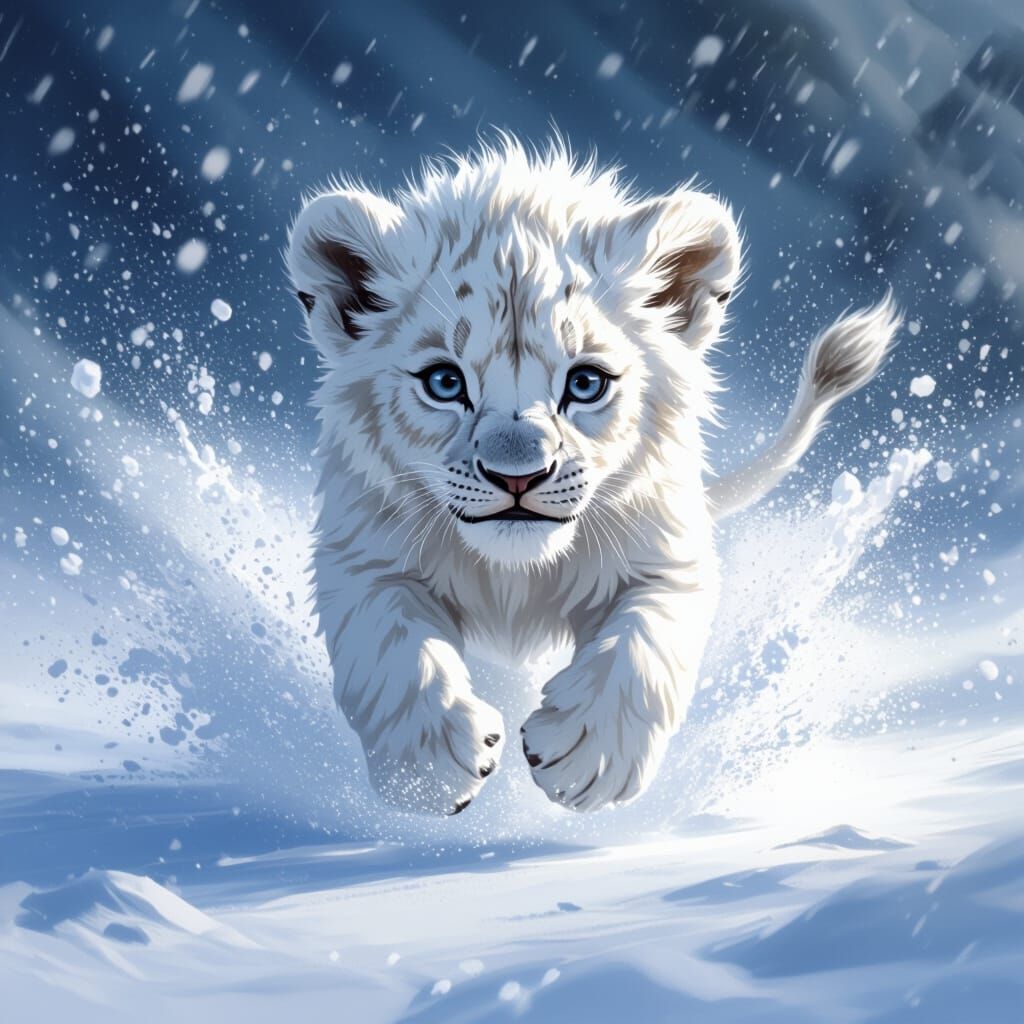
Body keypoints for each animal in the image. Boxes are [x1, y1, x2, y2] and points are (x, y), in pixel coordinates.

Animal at [287, 138, 898, 814]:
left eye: (586, 383)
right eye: (444, 382)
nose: (518, 477)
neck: (515, 578)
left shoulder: (670, 558)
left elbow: (644, 644)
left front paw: (584, 755)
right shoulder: (360, 555)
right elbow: (390, 645)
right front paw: (430, 768)